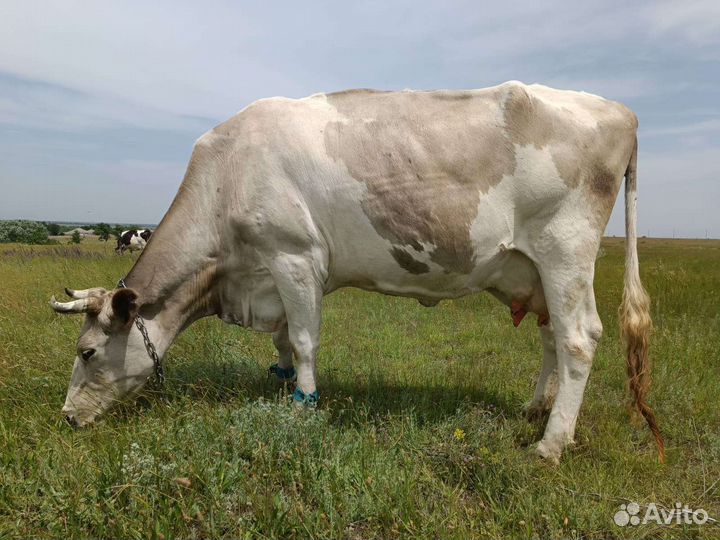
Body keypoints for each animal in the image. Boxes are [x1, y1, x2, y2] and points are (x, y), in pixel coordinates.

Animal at [50, 81, 663, 463]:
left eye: (87, 352)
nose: (66, 418)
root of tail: (623, 112)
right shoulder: (270, 276)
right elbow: (281, 340)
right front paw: (281, 381)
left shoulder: (294, 255)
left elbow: (302, 339)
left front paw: (303, 404)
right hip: (533, 269)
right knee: (551, 337)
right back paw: (536, 409)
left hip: (566, 252)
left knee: (579, 339)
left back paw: (551, 444)